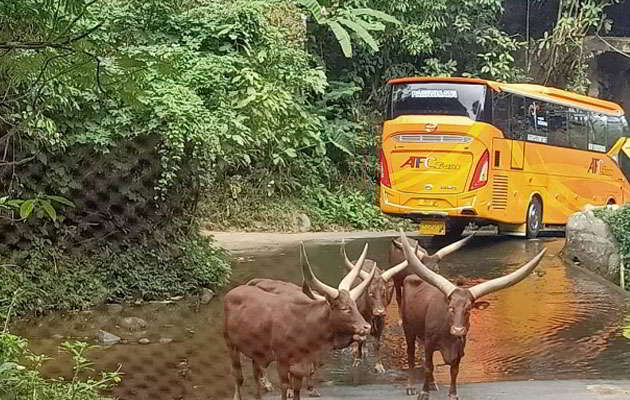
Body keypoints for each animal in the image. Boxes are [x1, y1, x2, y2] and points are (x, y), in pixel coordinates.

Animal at [226, 241, 378, 400]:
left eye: (354, 305)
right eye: (344, 308)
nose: (366, 327)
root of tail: (234, 290)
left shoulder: (301, 367)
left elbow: (298, 390)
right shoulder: (283, 363)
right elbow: (285, 388)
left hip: (256, 351)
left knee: (256, 374)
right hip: (231, 345)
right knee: (238, 377)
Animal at [400, 228, 548, 400]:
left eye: (469, 309)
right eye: (450, 307)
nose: (458, 330)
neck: (448, 335)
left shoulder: (460, 346)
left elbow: (454, 370)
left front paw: (453, 394)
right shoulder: (430, 342)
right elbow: (428, 366)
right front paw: (423, 393)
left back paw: (432, 384)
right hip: (408, 329)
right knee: (411, 356)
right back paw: (411, 386)